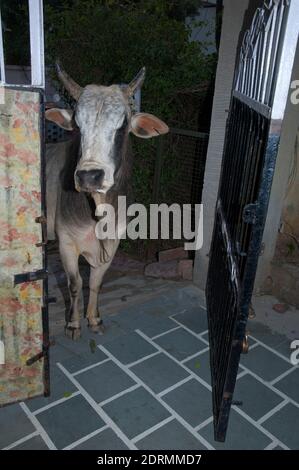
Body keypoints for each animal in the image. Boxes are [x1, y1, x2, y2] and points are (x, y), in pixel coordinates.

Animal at [46, 64, 170, 340]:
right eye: (77, 126)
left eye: (123, 126)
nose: (89, 176)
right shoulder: (66, 243)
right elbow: (75, 284)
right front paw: (73, 324)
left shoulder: (113, 245)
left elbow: (95, 283)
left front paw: (94, 318)